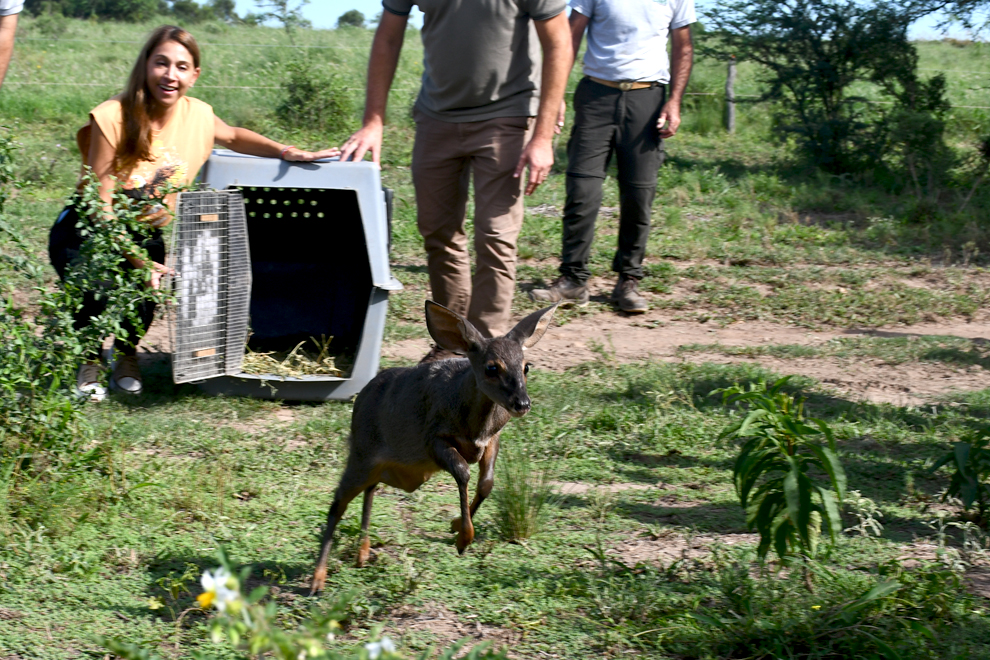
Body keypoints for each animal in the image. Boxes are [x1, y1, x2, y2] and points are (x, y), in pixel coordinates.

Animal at [310, 300, 560, 592]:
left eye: (526, 366)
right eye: (491, 368)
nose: (522, 404)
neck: (474, 427)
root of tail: (360, 399)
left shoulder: (492, 439)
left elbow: (487, 483)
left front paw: (455, 525)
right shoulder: (433, 439)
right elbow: (463, 472)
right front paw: (463, 538)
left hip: (385, 466)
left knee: (369, 489)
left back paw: (362, 555)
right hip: (362, 452)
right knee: (338, 502)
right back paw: (317, 579)